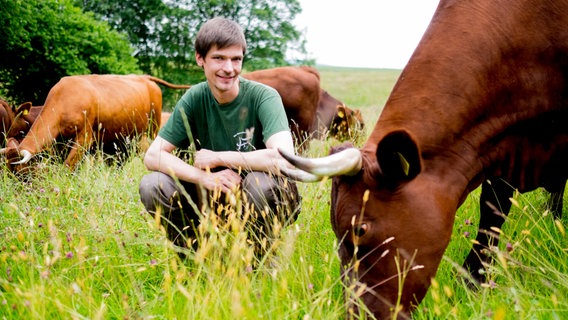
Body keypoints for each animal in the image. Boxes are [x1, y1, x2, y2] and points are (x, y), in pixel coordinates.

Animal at [1, 74, 191, 172]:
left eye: (20, 170)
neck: (64, 99)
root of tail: (144, 78)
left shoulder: (84, 138)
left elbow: (67, 166)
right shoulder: (60, 143)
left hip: (151, 131)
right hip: (119, 140)